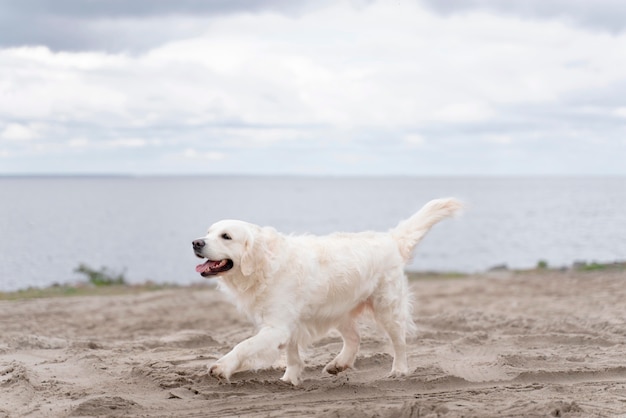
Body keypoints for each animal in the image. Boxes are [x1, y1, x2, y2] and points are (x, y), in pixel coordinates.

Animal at [193, 198, 460, 386]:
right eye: (208, 232)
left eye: (226, 236)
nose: (196, 242)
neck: (264, 265)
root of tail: (390, 238)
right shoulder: (290, 324)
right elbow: (291, 354)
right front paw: (290, 378)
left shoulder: (277, 326)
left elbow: (244, 345)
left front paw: (222, 367)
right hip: (338, 309)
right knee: (354, 338)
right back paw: (339, 364)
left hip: (387, 307)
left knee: (399, 341)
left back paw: (399, 370)